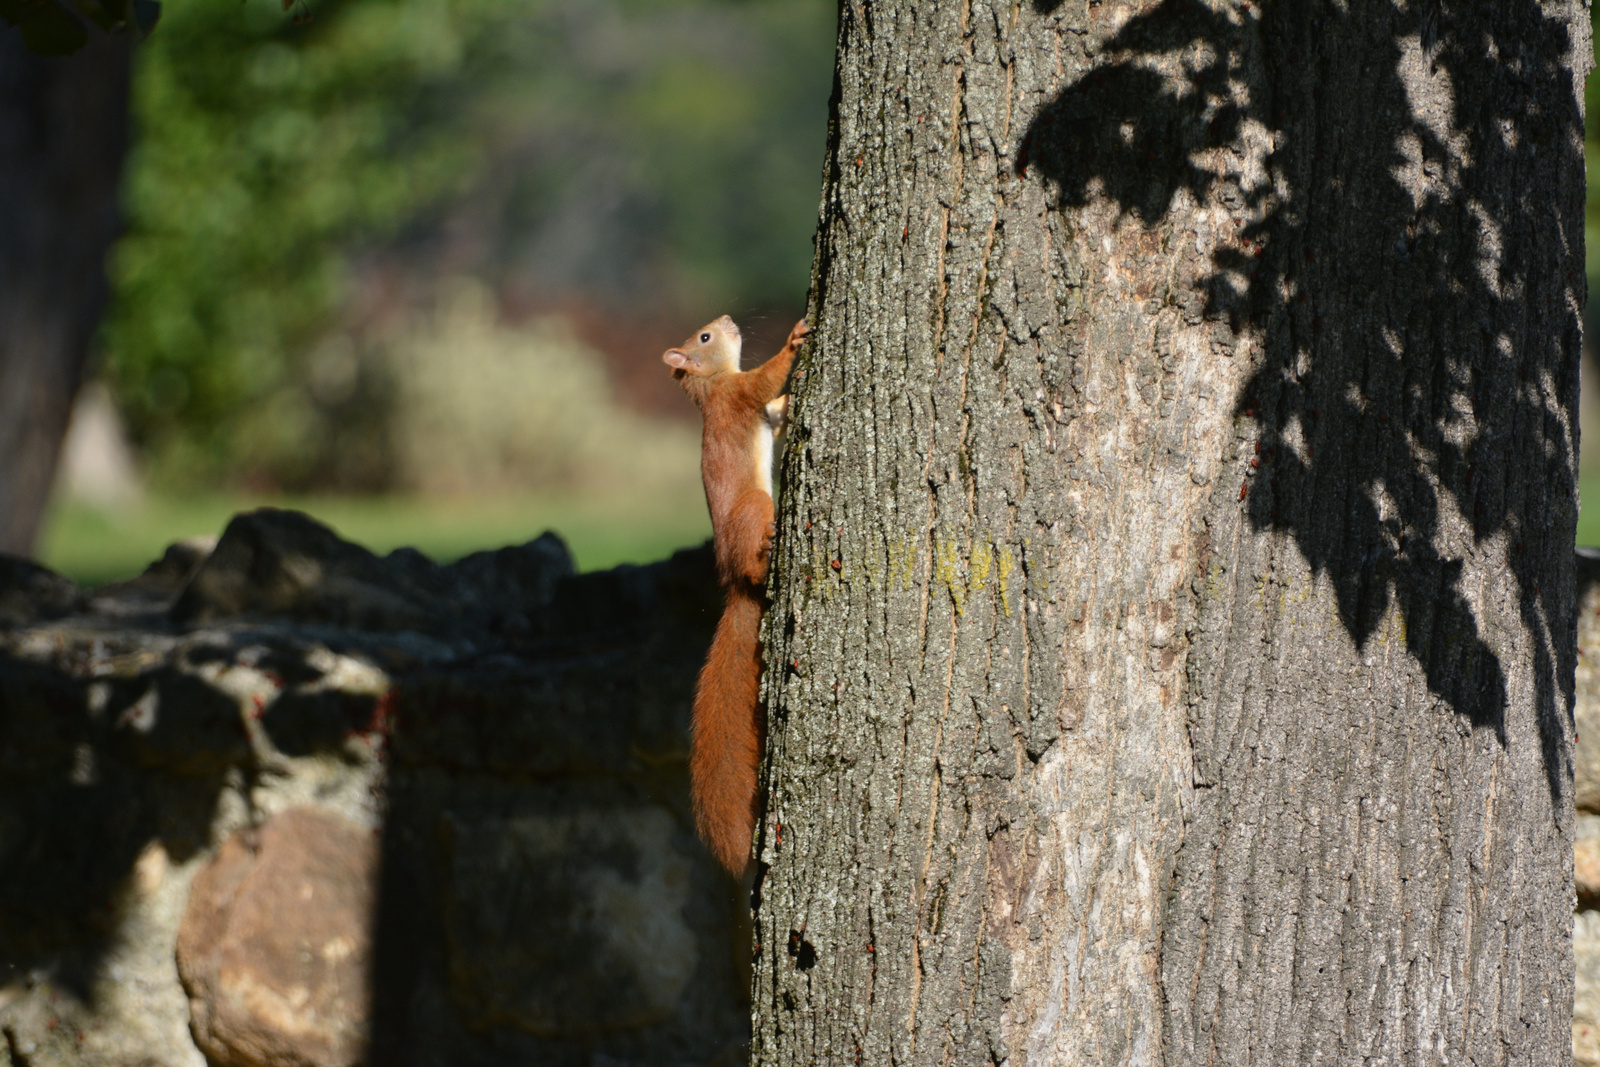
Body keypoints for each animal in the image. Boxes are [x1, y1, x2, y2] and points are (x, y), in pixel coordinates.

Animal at [665, 315, 812, 876]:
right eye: (704, 339)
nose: (727, 320)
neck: (711, 388)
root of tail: (735, 586)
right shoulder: (739, 396)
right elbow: (764, 382)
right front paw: (795, 340)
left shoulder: (753, 407)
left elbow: (777, 410)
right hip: (753, 508)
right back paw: (768, 551)